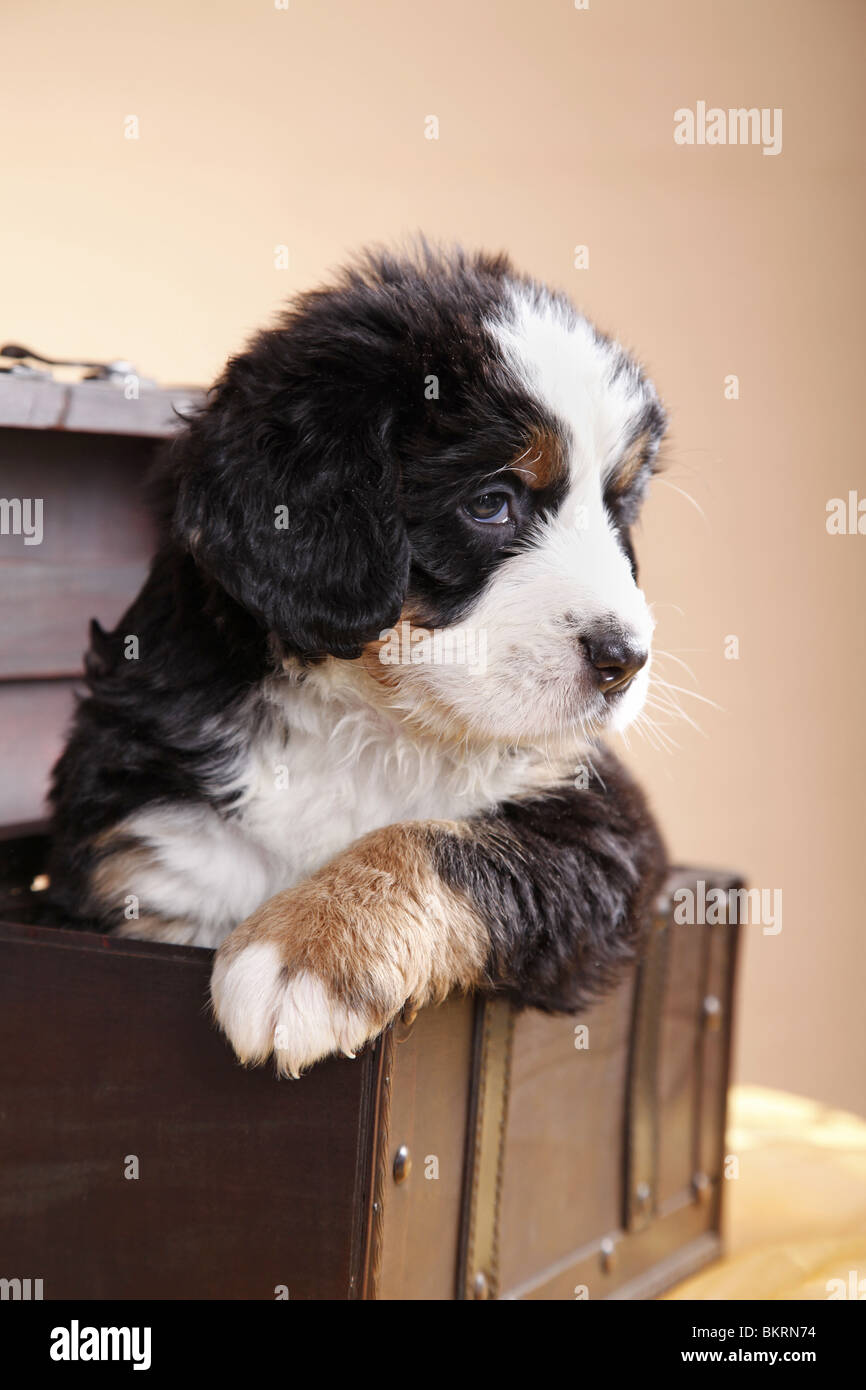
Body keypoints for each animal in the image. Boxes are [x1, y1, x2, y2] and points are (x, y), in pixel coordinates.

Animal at [47, 247, 670, 1073]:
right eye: (491, 502)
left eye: (618, 508)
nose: (624, 659)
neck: (372, 722)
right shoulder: (146, 848)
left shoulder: (607, 826)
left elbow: (442, 839)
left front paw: (303, 952)